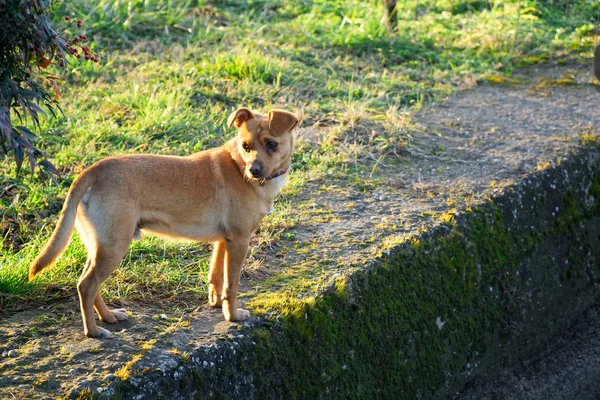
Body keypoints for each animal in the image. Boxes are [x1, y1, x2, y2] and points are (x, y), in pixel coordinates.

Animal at [29, 107, 298, 338]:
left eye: (271, 144)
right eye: (246, 146)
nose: (254, 171)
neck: (237, 163)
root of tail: (92, 171)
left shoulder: (224, 241)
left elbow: (216, 276)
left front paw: (215, 302)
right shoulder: (239, 241)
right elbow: (231, 285)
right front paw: (232, 315)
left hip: (100, 245)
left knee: (88, 283)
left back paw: (108, 316)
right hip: (114, 247)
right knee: (87, 285)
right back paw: (93, 331)